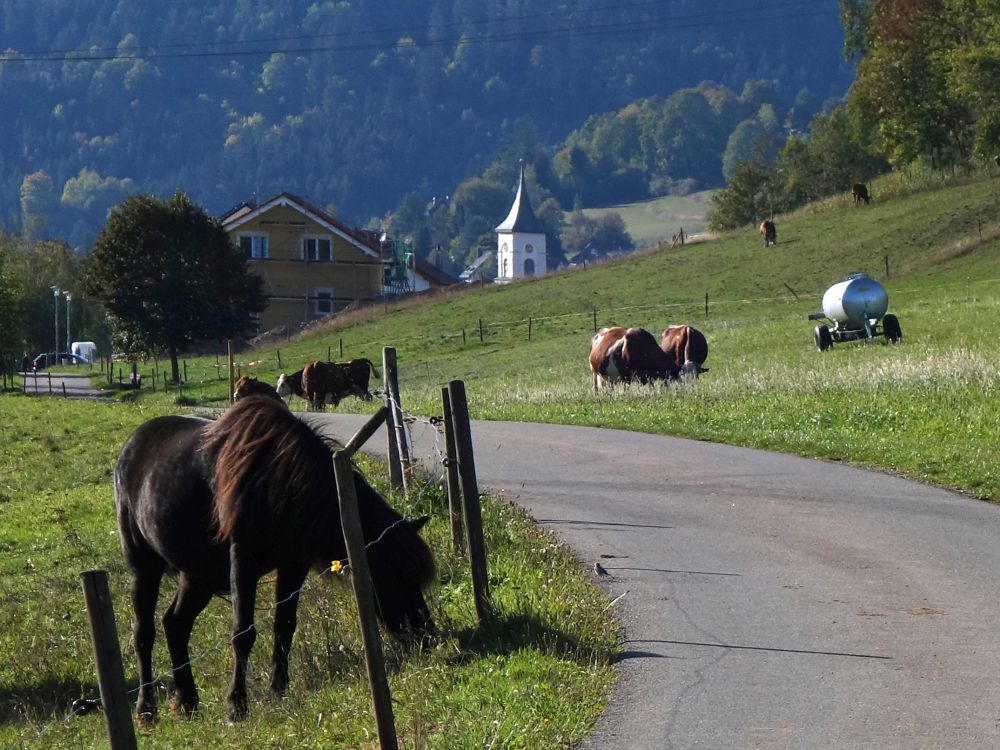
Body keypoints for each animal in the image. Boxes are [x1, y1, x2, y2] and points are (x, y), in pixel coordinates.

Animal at [113, 396, 434, 724]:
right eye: (394, 576)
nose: (428, 636)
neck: (280, 480)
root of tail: (131, 447)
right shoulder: (243, 559)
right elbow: (243, 632)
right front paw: (237, 704)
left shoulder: (294, 563)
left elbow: (284, 625)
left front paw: (278, 689)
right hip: (144, 566)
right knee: (144, 634)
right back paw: (146, 709)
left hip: (198, 575)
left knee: (176, 625)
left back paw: (187, 700)